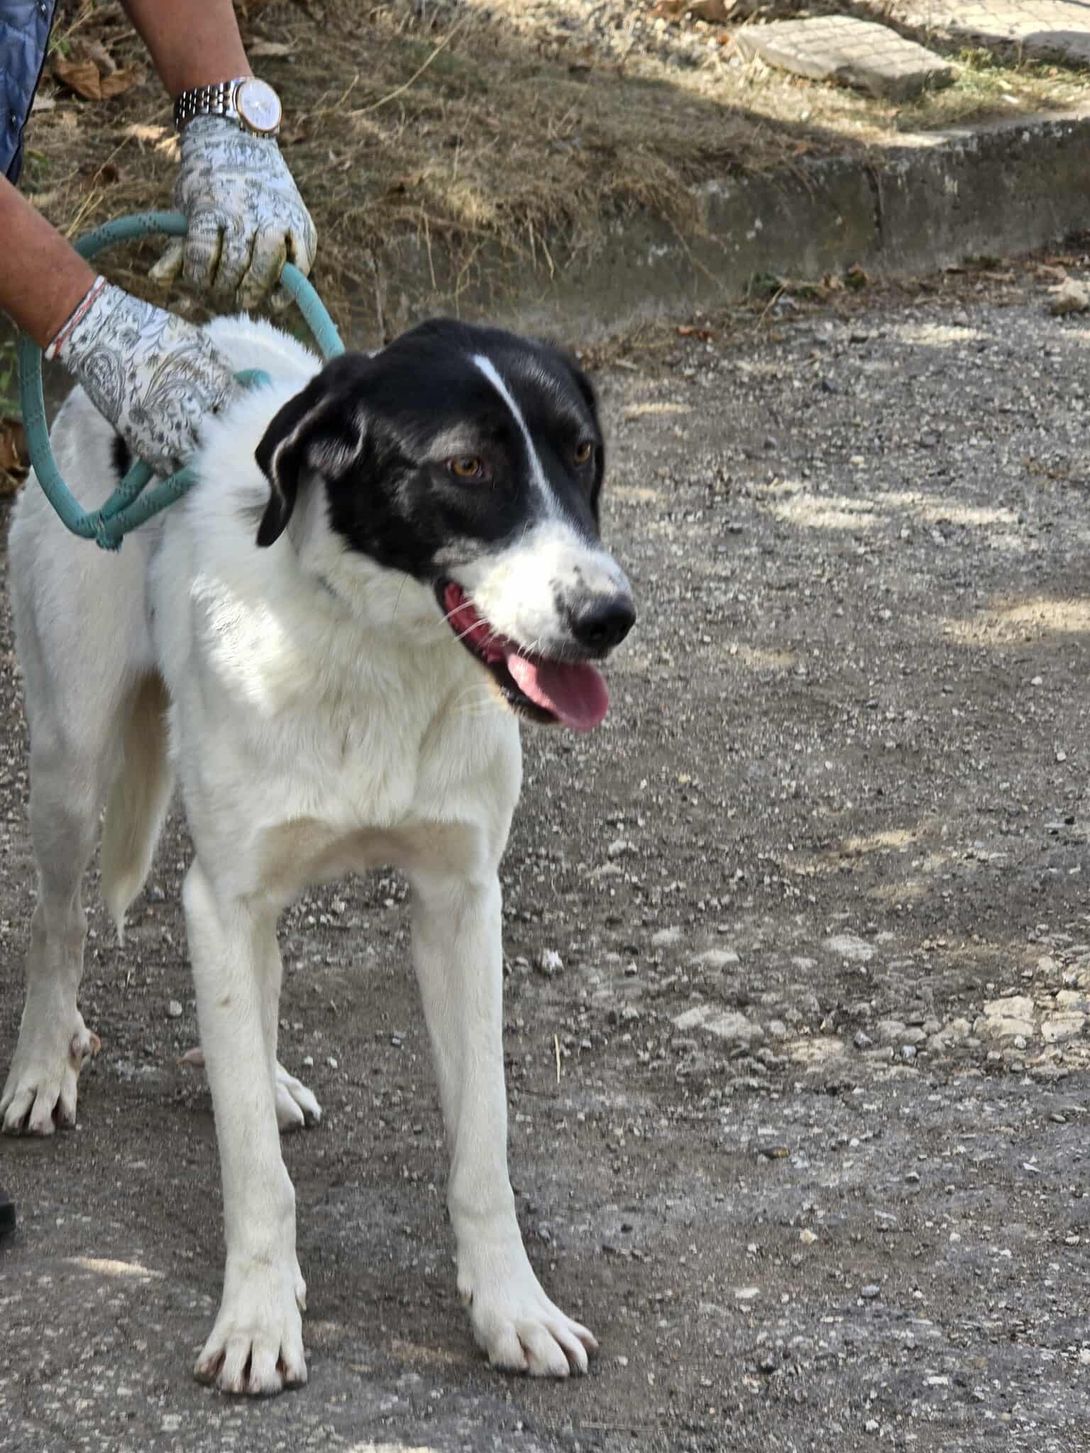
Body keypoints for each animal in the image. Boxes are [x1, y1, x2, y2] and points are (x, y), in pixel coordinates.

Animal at [0, 315, 635, 1394]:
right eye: (467, 465)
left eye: (581, 451)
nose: (608, 618)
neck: (374, 647)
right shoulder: (223, 898)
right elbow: (254, 1165)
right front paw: (257, 1315)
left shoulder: (461, 900)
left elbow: (483, 1145)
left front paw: (512, 1306)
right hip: (71, 767)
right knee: (59, 920)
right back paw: (45, 1060)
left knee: (253, 997)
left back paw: (268, 1072)